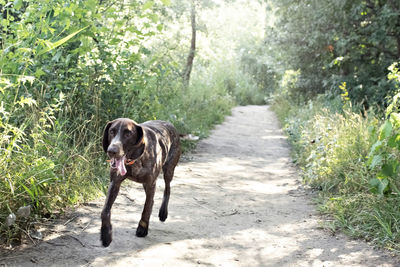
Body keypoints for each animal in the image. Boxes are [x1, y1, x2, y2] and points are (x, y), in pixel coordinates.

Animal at [100, 118, 181, 248]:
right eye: (111, 131)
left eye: (128, 133)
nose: (111, 151)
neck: (133, 159)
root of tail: (169, 124)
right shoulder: (114, 183)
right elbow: (105, 211)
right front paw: (106, 234)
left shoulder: (151, 183)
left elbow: (146, 208)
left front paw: (142, 228)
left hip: (168, 170)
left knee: (167, 189)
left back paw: (163, 212)